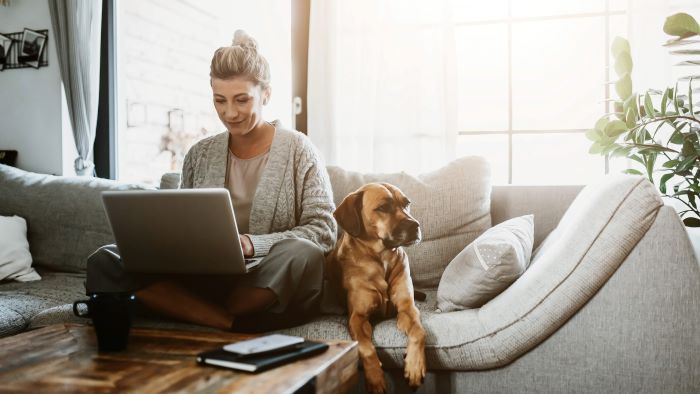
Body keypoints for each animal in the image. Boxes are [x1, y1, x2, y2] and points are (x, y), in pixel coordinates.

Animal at [324, 183, 424, 392]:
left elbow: (419, 332)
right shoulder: (358, 318)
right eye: (383, 207)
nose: (415, 226)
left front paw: (415, 366)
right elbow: (366, 348)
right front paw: (375, 378)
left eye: (407, 203)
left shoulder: (407, 308)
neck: (382, 258)